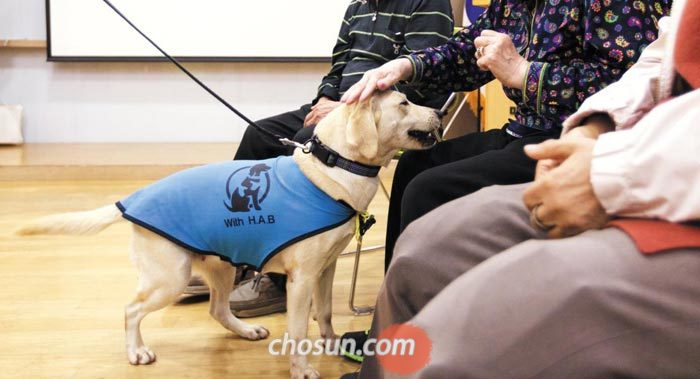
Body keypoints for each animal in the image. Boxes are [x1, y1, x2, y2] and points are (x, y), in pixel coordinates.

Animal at [16, 90, 440, 378]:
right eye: (404, 102)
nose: (437, 112)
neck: (333, 166)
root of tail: (133, 199)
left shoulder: (326, 268)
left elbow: (324, 314)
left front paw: (332, 344)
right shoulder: (302, 279)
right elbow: (298, 327)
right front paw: (302, 368)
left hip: (220, 266)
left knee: (217, 309)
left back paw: (246, 329)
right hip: (169, 277)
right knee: (131, 309)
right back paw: (137, 351)